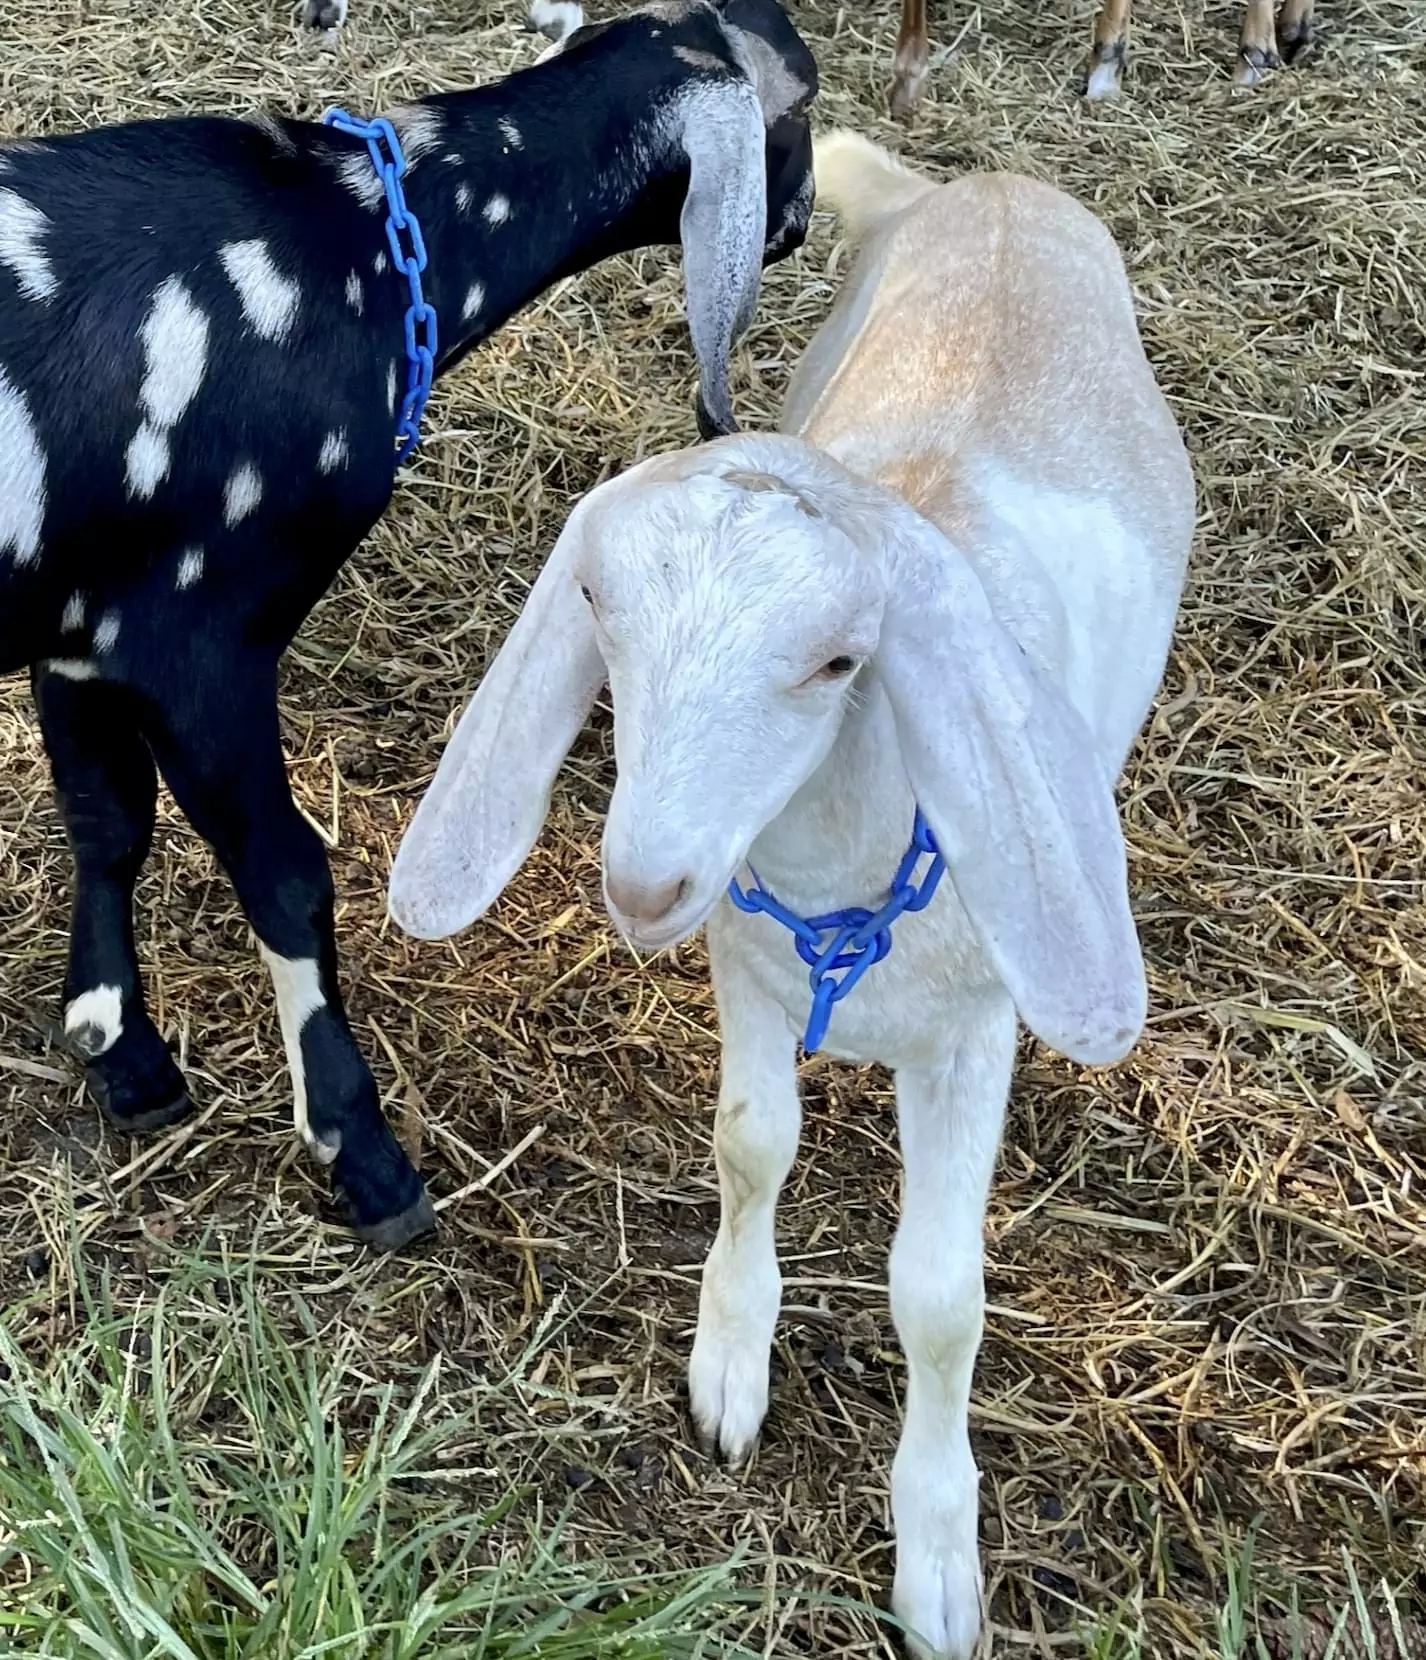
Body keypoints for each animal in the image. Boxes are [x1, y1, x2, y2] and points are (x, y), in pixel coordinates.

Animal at [0, 0, 817, 1252]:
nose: (803, 218)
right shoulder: (199, 637)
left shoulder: (81, 626)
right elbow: (288, 874)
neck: (365, 245)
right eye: (802, 108)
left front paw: (119, 1047)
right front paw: (363, 1151)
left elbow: (106, 821)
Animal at [388, 127, 1193, 1654]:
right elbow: (751, 1147)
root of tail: (990, 186)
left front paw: (936, 1558)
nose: (645, 879)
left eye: (837, 661)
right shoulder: (745, 967)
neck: (842, 889)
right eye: (598, 608)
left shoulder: (975, 1037)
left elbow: (937, 1297)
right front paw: (729, 1366)